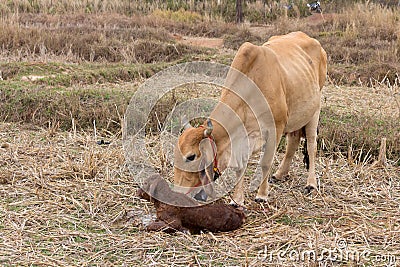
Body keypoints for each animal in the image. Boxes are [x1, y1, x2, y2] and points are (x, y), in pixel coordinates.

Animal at [173, 31, 326, 207]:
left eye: (191, 157)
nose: (177, 193)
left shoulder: (276, 129)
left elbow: (265, 163)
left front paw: (262, 195)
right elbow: (240, 167)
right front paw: (237, 199)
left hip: (314, 111)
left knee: (312, 146)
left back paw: (311, 184)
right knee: (293, 142)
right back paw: (279, 174)